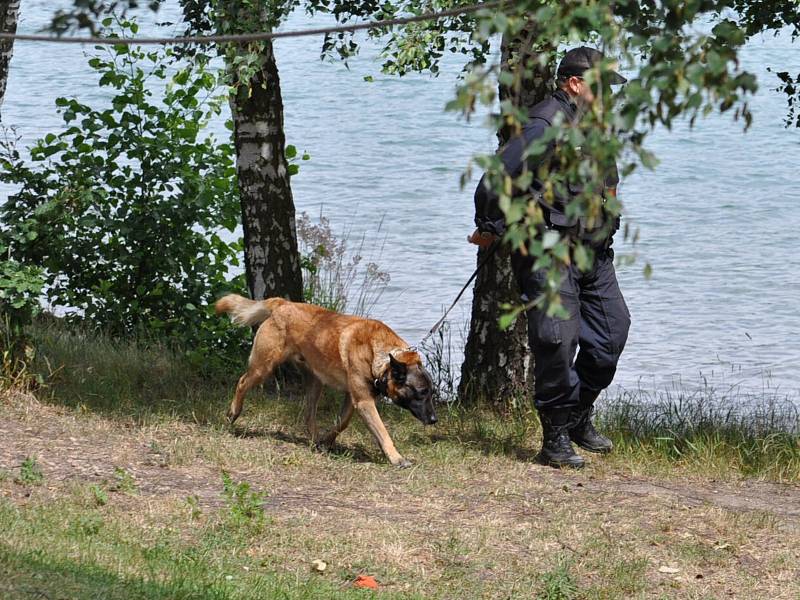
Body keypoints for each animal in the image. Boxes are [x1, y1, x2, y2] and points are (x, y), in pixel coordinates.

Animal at [214, 292, 438, 466]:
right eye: (421, 392)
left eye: (431, 393)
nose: (434, 420)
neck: (380, 355)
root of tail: (282, 304)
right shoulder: (364, 401)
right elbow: (382, 432)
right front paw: (396, 458)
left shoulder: (353, 398)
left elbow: (342, 423)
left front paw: (326, 441)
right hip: (264, 367)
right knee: (242, 382)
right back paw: (233, 413)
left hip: (315, 382)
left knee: (308, 415)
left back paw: (314, 441)